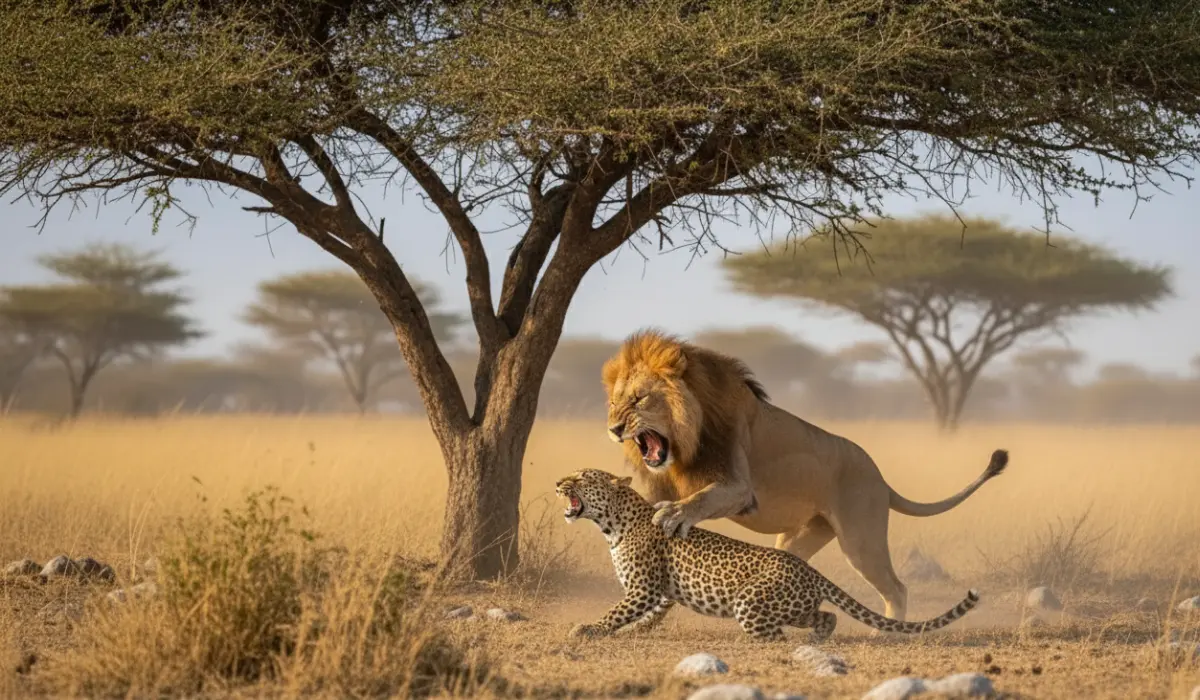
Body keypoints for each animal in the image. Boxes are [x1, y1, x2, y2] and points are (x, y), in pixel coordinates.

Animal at [556, 468, 980, 642]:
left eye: (582, 478)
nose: (558, 483)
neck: (611, 523)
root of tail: (809, 571)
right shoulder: (657, 590)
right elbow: (648, 613)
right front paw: (634, 631)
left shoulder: (642, 588)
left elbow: (615, 611)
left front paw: (588, 629)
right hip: (795, 604)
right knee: (825, 616)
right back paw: (816, 639)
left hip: (750, 600)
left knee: (774, 635)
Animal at [600, 328, 1009, 622]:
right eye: (615, 402)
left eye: (640, 399)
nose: (614, 429)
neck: (686, 442)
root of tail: (880, 477)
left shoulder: (739, 488)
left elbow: (701, 497)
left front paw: (675, 515)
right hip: (800, 538)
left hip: (861, 540)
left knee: (896, 588)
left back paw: (888, 633)